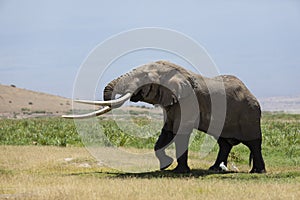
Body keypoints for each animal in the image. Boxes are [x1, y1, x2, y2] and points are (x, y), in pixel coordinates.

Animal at [63, 60, 268, 173]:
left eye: (145, 77)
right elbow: (167, 132)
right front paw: (165, 166)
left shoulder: (188, 100)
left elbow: (181, 132)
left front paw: (180, 171)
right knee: (224, 143)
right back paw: (214, 169)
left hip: (250, 113)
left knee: (254, 143)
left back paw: (257, 171)